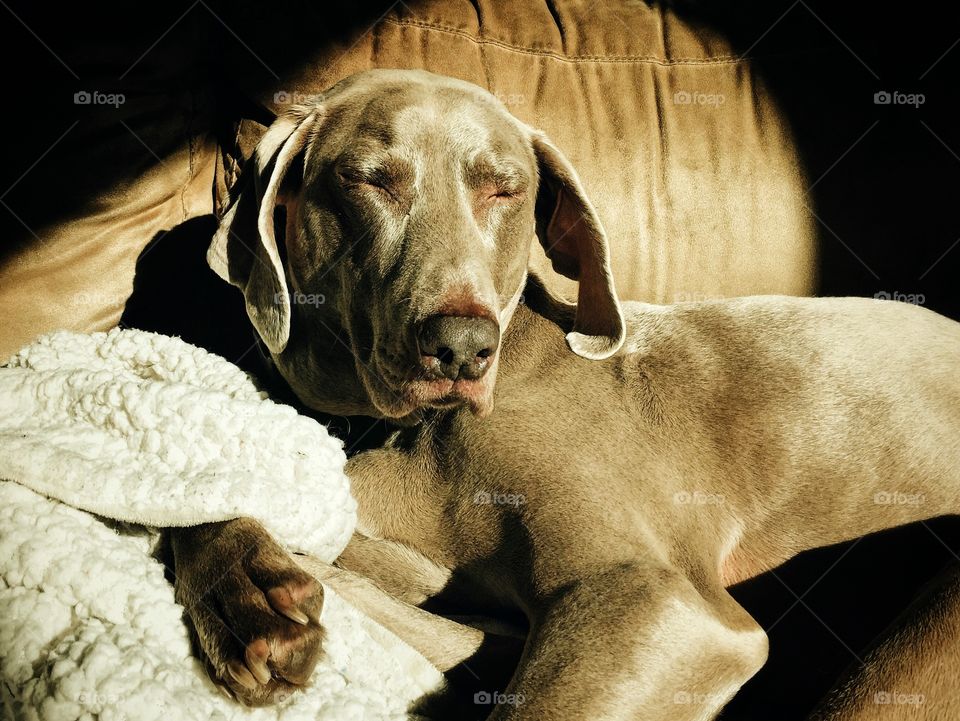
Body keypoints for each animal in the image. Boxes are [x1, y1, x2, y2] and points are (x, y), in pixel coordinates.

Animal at [171, 69, 960, 720]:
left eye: (506, 188)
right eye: (368, 179)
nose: (462, 346)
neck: (400, 429)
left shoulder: (659, 603)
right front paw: (246, 591)